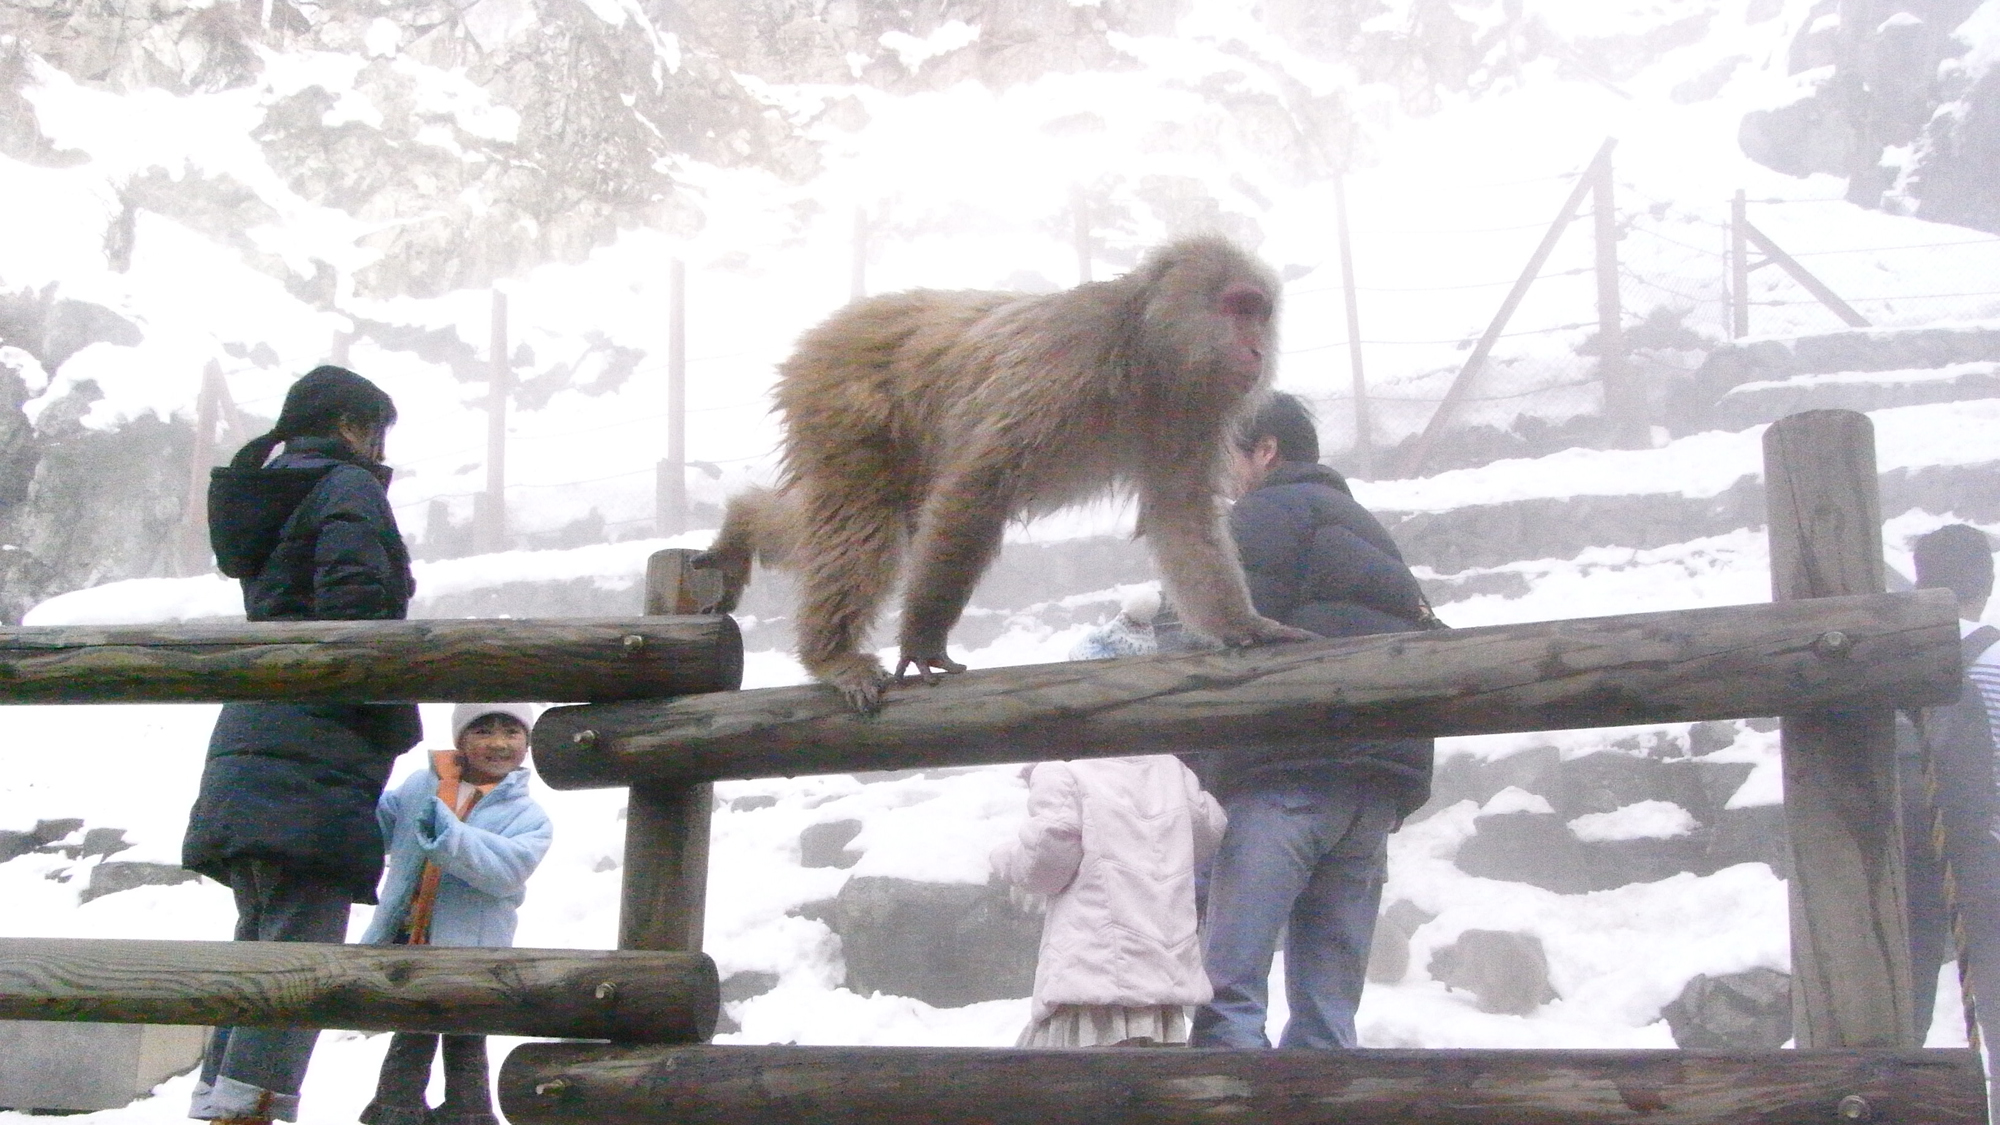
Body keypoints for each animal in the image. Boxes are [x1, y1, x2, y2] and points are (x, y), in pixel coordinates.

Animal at [692, 234, 1312, 708]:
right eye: (1238, 307)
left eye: (1260, 312)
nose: (1256, 350)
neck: (1147, 353)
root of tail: (835, 326)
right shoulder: (1065, 368)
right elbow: (980, 486)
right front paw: (924, 639)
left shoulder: (1193, 410)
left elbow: (1181, 512)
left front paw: (1243, 626)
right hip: (841, 397)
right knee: (861, 516)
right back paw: (831, 653)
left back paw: (742, 529)